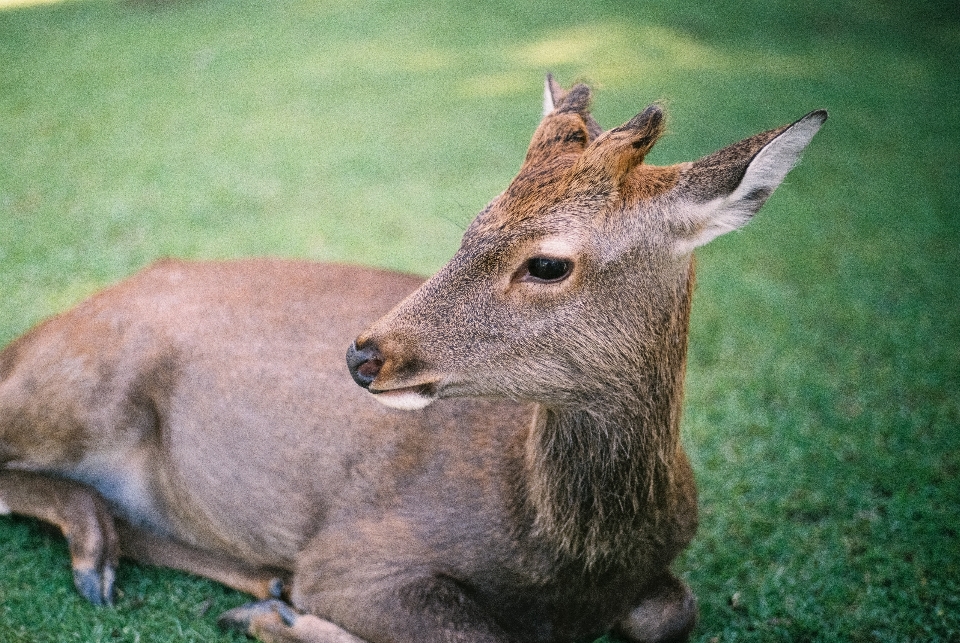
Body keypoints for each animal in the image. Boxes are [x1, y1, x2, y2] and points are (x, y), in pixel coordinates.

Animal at [0, 76, 824, 643]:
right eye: (472, 223)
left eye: (548, 263)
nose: (363, 353)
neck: (567, 562)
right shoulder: (355, 553)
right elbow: (478, 634)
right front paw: (284, 621)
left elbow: (674, 611)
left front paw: (273, 608)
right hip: (81, 385)